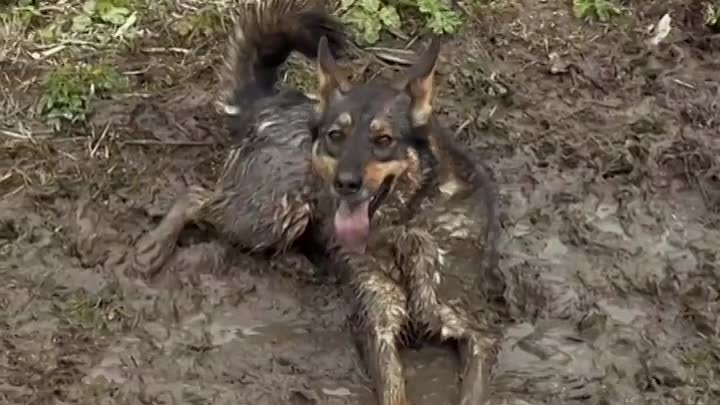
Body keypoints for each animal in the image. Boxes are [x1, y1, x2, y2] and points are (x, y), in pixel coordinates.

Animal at [131, 0, 500, 404]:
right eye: (335, 136)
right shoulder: (378, 329)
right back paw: (155, 246)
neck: (403, 229)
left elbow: (473, 387)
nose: (345, 184)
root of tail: (271, 100)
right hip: (276, 210)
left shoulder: (475, 330)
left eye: (384, 140)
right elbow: (392, 388)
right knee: (197, 196)